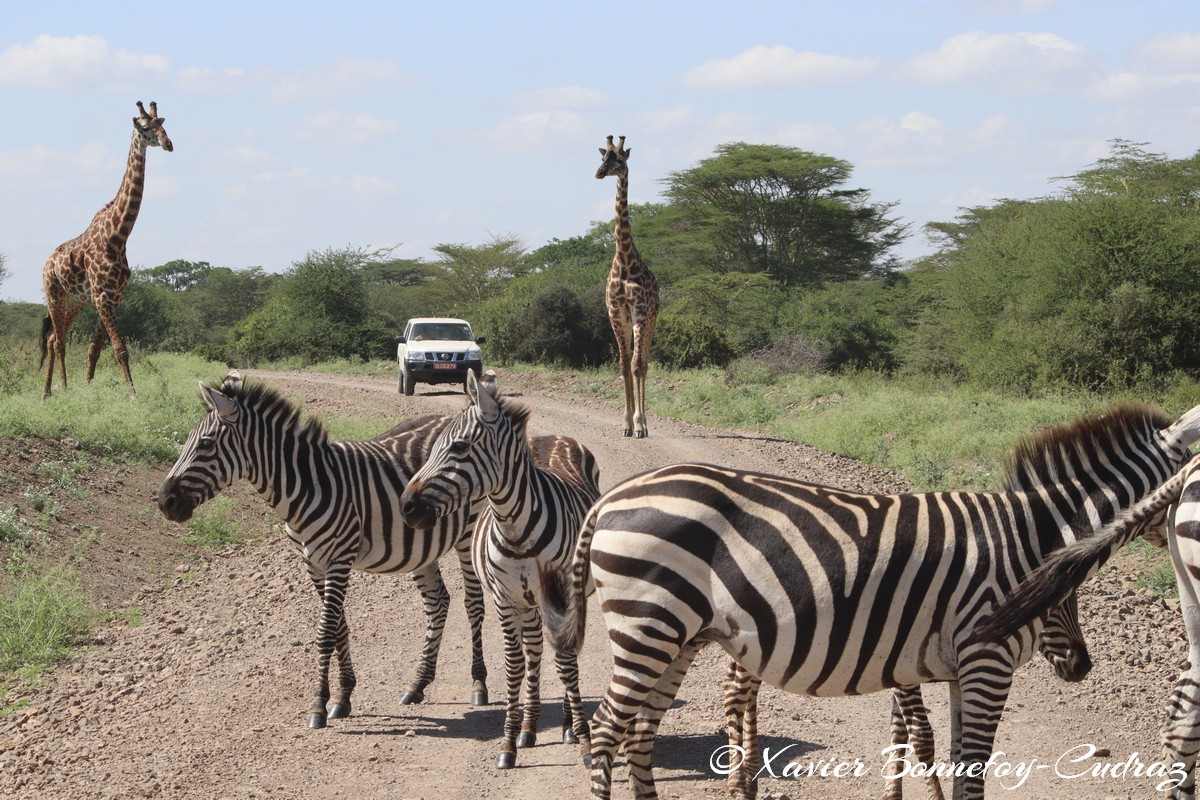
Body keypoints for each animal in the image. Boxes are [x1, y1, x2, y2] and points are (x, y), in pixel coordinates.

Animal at [40, 100, 173, 399]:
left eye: (164, 126)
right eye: (146, 129)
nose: (169, 144)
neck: (118, 235)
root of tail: (47, 261)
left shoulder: (114, 295)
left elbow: (95, 349)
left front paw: (89, 388)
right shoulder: (103, 296)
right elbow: (120, 350)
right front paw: (133, 396)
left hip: (76, 300)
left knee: (53, 337)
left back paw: (52, 391)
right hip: (54, 293)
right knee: (59, 341)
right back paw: (56, 389)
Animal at [156, 370, 492, 729]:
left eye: (205, 444)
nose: (164, 502)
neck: (306, 484)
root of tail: (451, 419)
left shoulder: (339, 558)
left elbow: (325, 630)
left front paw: (319, 704)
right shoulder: (312, 562)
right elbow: (340, 626)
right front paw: (343, 696)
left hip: (467, 532)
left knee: (473, 602)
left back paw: (478, 684)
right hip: (420, 542)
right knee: (437, 602)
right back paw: (417, 684)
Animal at [400, 368, 600, 769]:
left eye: (459, 448)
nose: (406, 506)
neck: (515, 528)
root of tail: (555, 437)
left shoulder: (559, 596)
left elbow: (566, 663)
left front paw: (585, 742)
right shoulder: (505, 599)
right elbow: (515, 665)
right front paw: (509, 742)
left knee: (562, 652)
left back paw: (566, 726)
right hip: (528, 603)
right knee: (535, 650)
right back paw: (530, 727)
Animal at [721, 586, 1090, 800]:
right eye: (1054, 607)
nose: (1083, 666)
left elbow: (901, 731)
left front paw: (893, 794)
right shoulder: (902, 671)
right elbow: (922, 738)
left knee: (744, 687)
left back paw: (749, 776)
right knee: (735, 690)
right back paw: (738, 782)